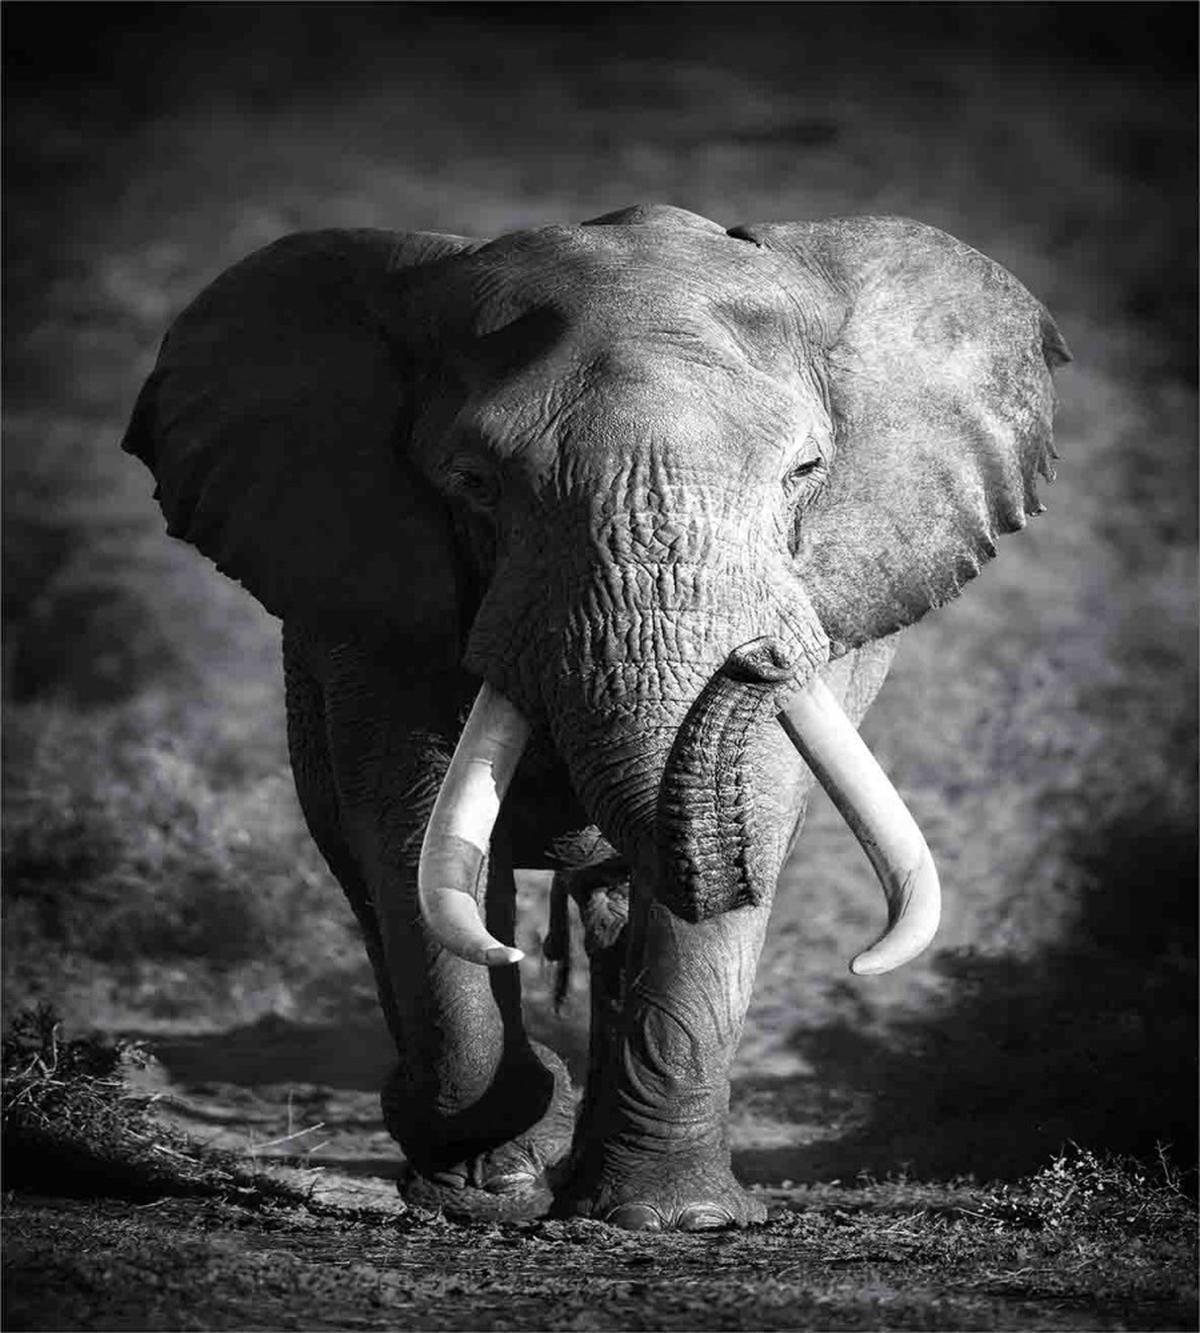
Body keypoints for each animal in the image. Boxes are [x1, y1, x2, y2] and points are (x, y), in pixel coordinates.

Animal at [122, 203, 1069, 1231]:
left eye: (805, 472)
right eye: (476, 482)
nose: (762, 656)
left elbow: (756, 811)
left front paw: (675, 1218)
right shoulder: (373, 597)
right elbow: (413, 827)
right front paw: (493, 1182)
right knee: (369, 868)